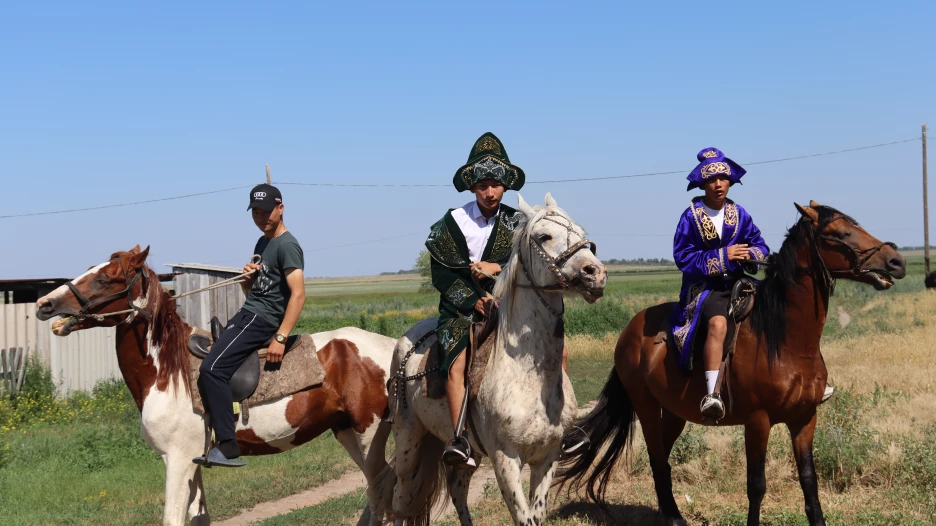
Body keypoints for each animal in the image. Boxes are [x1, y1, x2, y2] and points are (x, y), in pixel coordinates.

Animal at [35, 248, 394, 526]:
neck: (169, 373)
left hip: (369, 433)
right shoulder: (190, 461)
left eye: (105, 278)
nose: (43, 304)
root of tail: (390, 346)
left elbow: (173, 518)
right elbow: (199, 517)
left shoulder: (177, 459)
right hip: (346, 431)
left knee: (382, 491)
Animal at [370, 195, 612, 526]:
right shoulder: (505, 459)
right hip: (409, 440)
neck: (527, 375)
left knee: (457, 492)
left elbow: (537, 514)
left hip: (465, 455)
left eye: (579, 232)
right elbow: (523, 517)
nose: (595, 274)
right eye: (544, 237)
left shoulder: (547, 457)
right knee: (401, 498)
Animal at [556, 203, 908, 526]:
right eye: (840, 234)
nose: (897, 261)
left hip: (674, 411)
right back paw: (673, 518)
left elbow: (809, 481)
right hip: (645, 405)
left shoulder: (805, 418)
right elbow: (756, 485)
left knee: (663, 460)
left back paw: (672, 515)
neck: (786, 340)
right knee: (657, 456)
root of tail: (630, 329)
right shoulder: (758, 420)